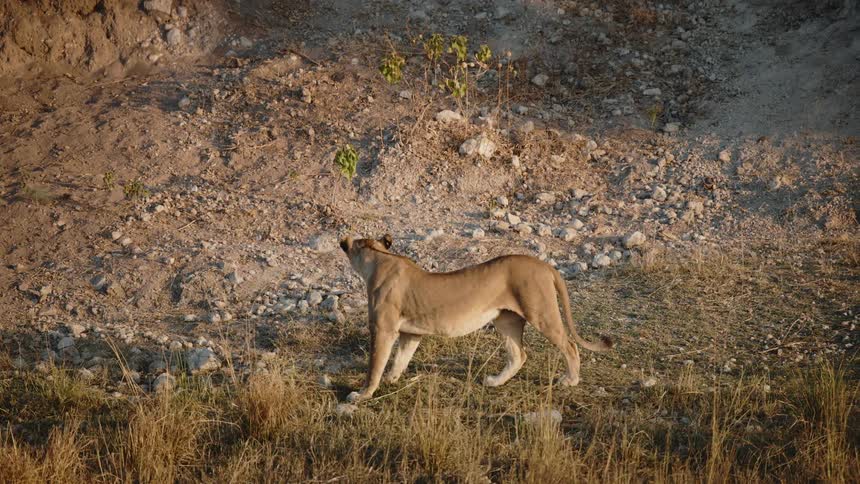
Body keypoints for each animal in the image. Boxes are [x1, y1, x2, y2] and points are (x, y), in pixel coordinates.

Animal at [340, 234, 614, 402]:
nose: (344, 240)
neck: (379, 259)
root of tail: (546, 265)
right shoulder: (411, 333)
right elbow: (400, 359)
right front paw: (392, 379)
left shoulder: (382, 328)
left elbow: (375, 365)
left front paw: (362, 394)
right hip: (506, 320)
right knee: (519, 355)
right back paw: (494, 382)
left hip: (541, 312)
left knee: (570, 345)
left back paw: (570, 380)